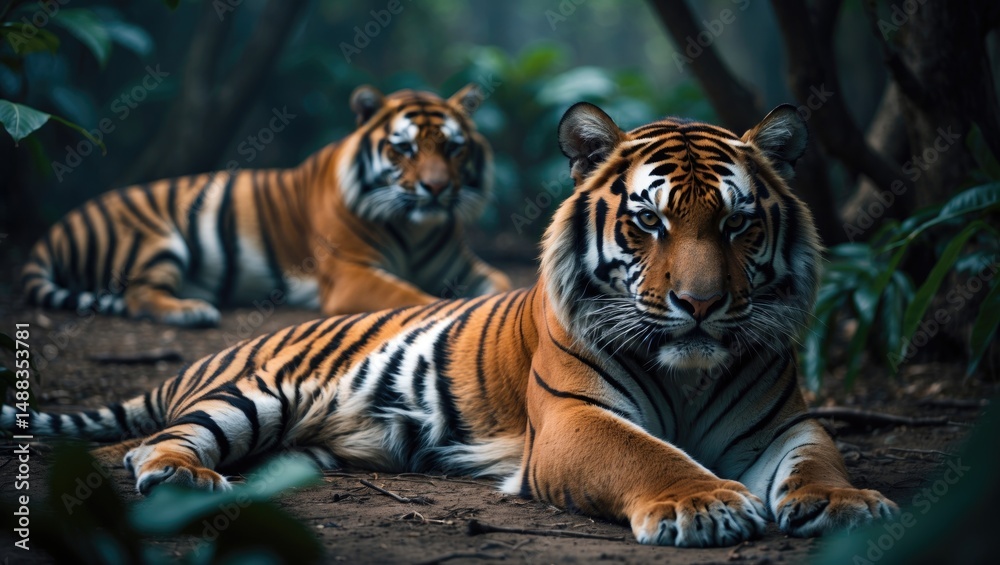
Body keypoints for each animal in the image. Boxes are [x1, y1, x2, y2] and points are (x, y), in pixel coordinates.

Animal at [19, 85, 510, 327]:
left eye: (453, 148)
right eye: (404, 148)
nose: (436, 188)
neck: (417, 227)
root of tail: (52, 232)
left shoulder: (465, 268)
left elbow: (503, 284)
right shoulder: (350, 272)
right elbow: (408, 296)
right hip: (153, 240)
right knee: (137, 295)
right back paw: (193, 312)